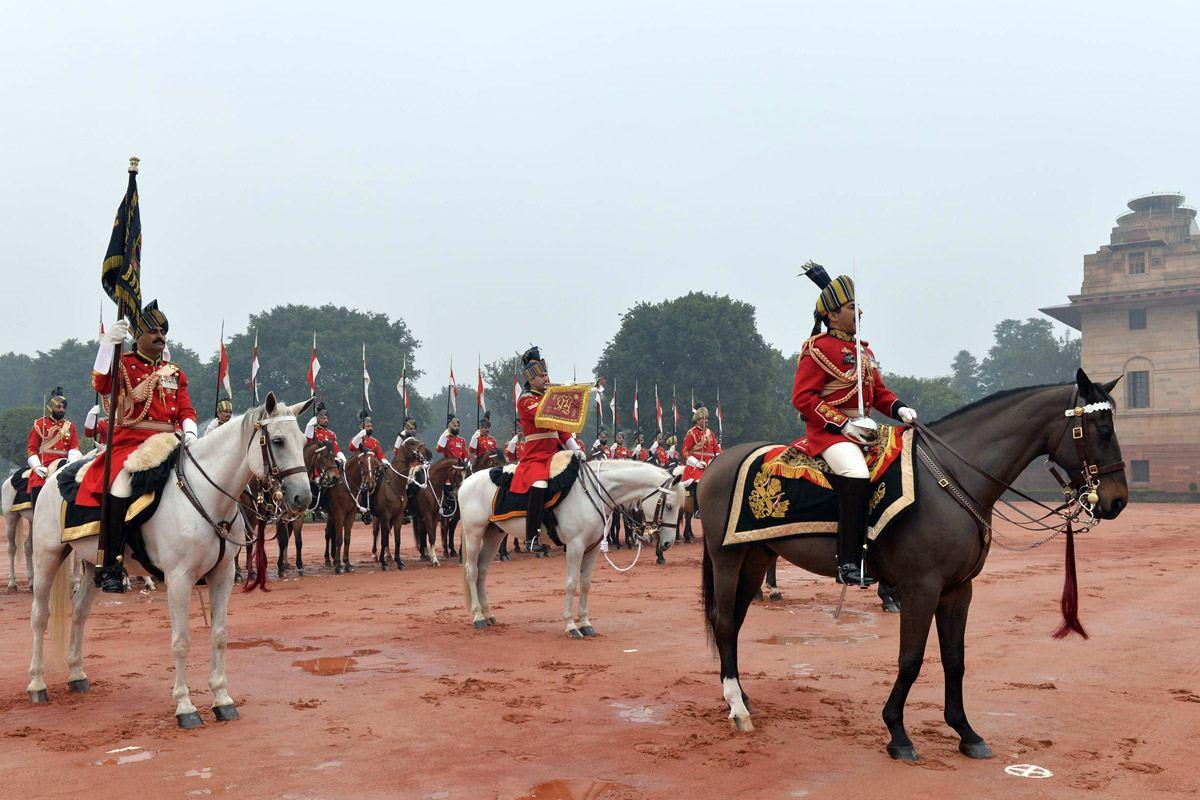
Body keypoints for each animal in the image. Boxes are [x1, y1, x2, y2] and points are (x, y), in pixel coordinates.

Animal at [27, 391, 314, 729]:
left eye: (302, 440)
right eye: (278, 441)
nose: (304, 498)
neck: (208, 497)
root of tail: (56, 473)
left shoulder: (223, 575)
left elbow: (220, 636)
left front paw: (222, 699)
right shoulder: (179, 579)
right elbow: (181, 641)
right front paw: (185, 706)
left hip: (90, 562)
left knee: (80, 613)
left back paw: (76, 674)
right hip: (47, 555)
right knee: (40, 615)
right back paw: (37, 684)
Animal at [458, 455, 686, 638]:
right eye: (668, 506)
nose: (667, 543)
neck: (593, 493)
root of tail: (466, 481)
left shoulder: (592, 548)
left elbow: (585, 584)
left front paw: (585, 623)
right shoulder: (575, 546)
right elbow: (570, 583)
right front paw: (570, 625)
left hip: (494, 534)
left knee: (482, 571)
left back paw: (488, 614)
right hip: (474, 532)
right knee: (472, 571)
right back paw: (478, 616)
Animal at [700, 371, 1128, 762]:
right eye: (1103, 430)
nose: (1118, 500)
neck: (954, 477)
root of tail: (718, 462)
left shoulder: (958, 590)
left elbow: (955, 660)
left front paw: (965, 731)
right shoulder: (920, 588)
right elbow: (911, 660)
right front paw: (897, 733)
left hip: (756, 556)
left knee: (734, 621)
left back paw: (740, 695)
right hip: (727, 557)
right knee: (724, 623)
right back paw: (736, 707)